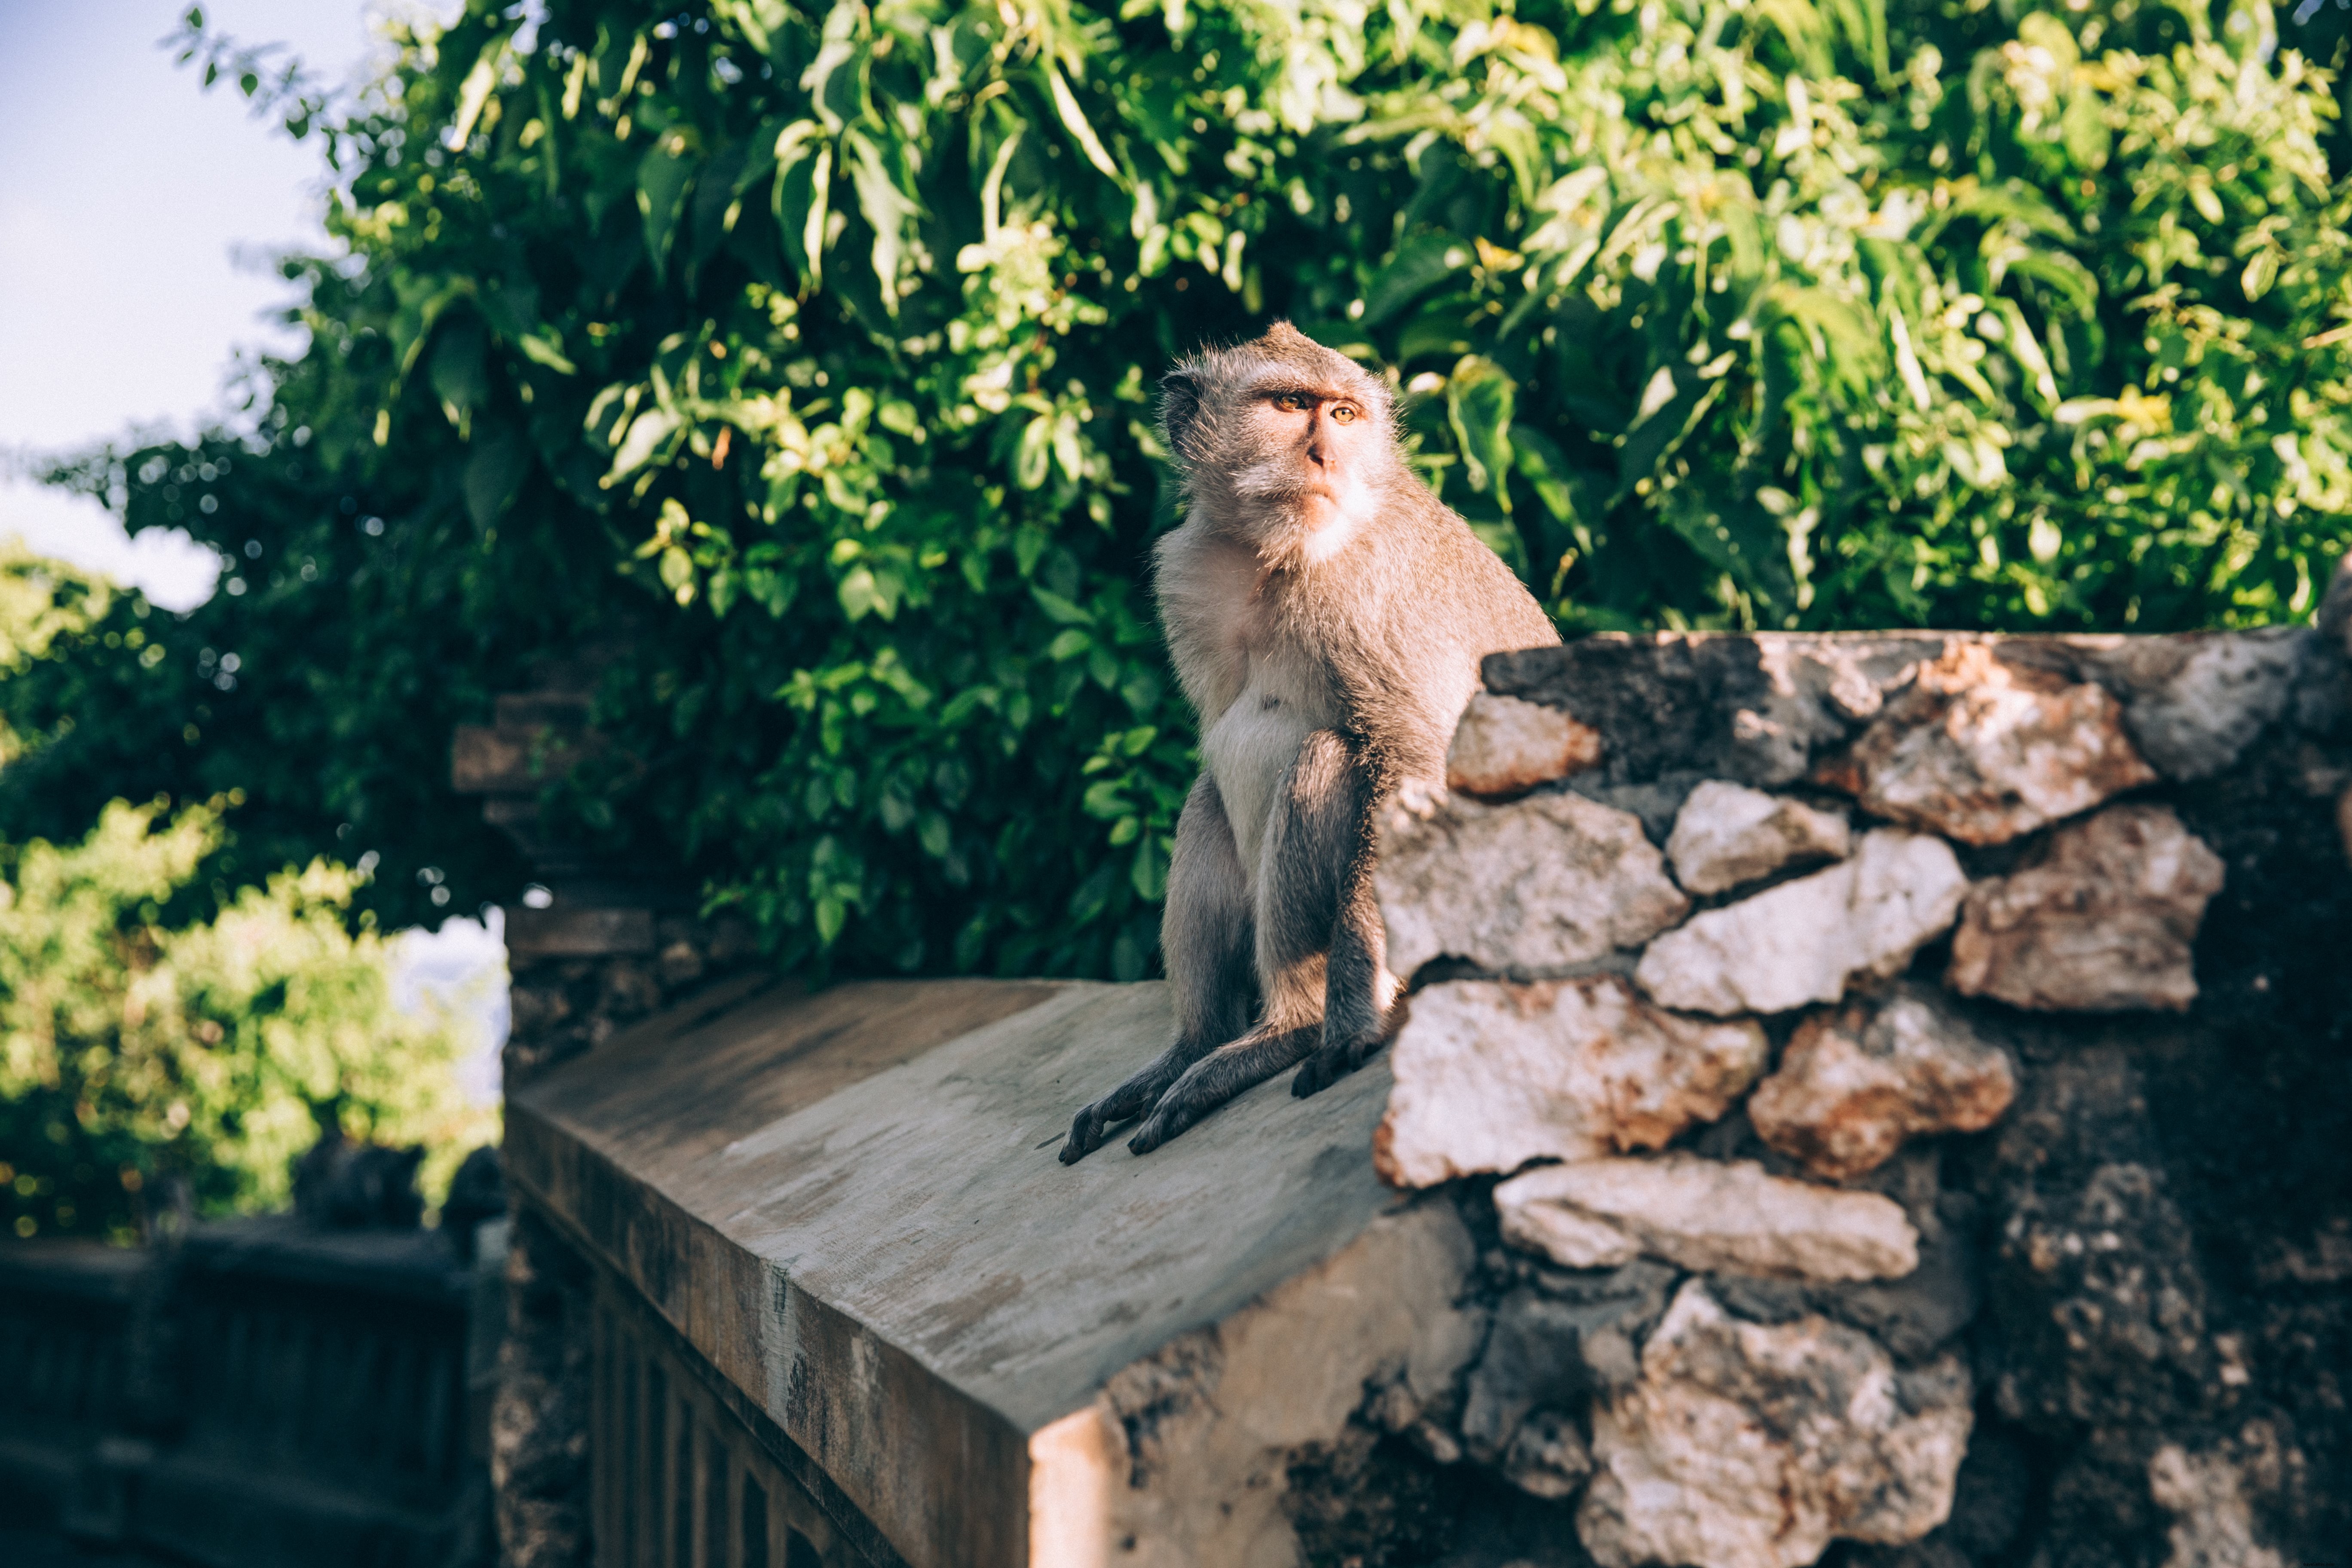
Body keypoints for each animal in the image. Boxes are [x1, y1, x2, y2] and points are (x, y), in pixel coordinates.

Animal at [1058, 322, 1560, 1164]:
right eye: (1290, 405)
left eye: (1344, 414)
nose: (1324, 455)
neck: (1272, 557)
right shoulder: (1184, 569)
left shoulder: (1368, 589)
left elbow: (1408, 762)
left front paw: (1351, 1023)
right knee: (1208, 798)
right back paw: (1197, 1045)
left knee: (1324, 755)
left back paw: (1288, 1029)